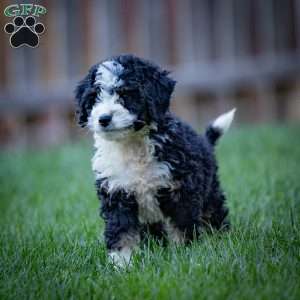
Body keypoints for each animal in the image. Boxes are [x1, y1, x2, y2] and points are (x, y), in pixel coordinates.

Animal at [74, 54, 234, 268]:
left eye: (125, 95)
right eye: (95, 97)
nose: (104, 118)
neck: (132, 144)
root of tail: (205, 143)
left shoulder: (180, 190)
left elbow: (182, 227)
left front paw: (185, 254)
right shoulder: (116, 193)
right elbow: (122, 230)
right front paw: (121, 264)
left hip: (210, 193)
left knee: (214, 216)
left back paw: (221, 240)